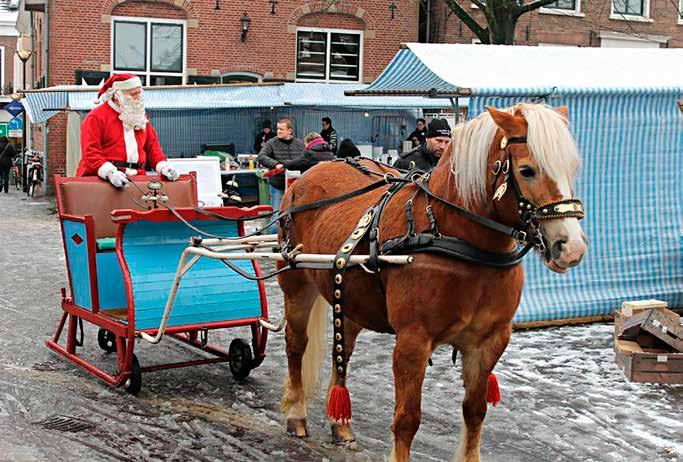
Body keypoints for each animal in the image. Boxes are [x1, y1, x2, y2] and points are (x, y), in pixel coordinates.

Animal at [276, 103, 588, 460]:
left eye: (572, 168)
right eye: (526, 171)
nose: (572, 247)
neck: (455, 236)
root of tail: (306, 176)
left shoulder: (489, 341)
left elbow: (475, 412)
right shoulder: (412, 341)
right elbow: (407, 419)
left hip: (351, 299)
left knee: (342, 351)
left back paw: (339, 423)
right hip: (296, 283)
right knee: (296, 345)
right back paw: (296, 414)